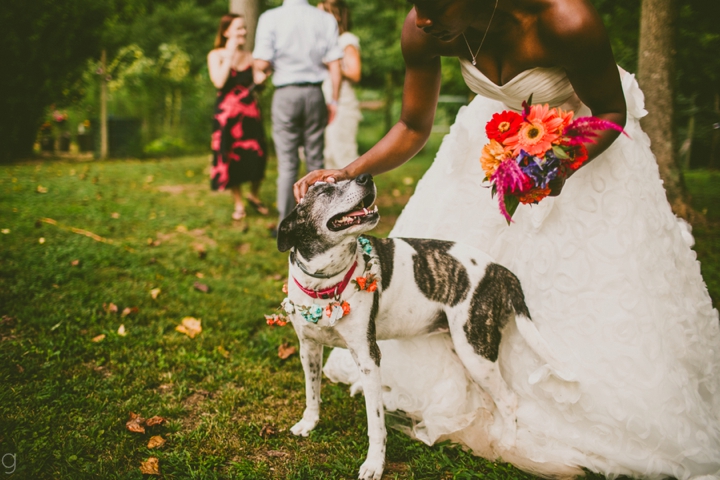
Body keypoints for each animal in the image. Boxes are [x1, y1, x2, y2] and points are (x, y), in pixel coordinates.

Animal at [276, 175, 568, 480]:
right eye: (324, 190)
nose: (366, 176)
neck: (325, 283)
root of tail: (499, 269)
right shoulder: (308, 348)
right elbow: (312, 392)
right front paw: (309, 423)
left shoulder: (368, 358)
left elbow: (376, 423)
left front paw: (374, 464)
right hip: (468, 353)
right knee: (490, 399)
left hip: (475, 350)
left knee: (509, 399)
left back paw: (507, 446)